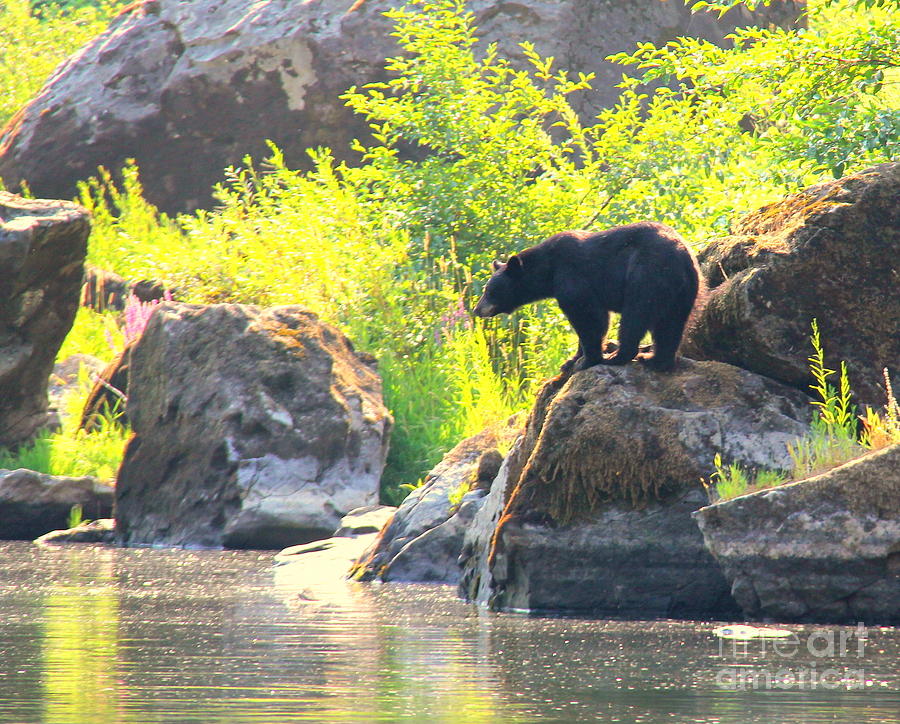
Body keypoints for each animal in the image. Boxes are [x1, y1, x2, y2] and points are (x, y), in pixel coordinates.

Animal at [474, 221, 700, 370]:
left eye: (489, 290)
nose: (477, 309)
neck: (548, 270)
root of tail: (682, 256)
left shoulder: (573, 277)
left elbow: (588, 317)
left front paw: (586, 360)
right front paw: (571, 360)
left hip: (646, 276)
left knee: (636, 315)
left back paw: (619, 356)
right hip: (683, 292)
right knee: (670, 325)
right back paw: (656, 360)